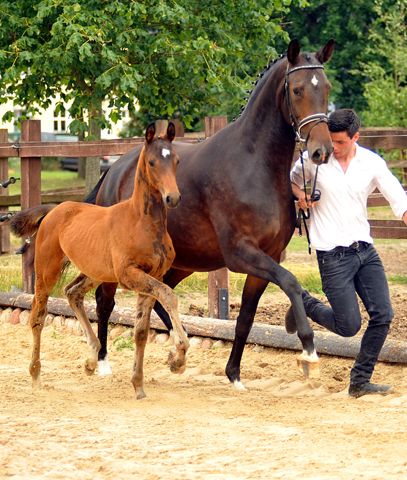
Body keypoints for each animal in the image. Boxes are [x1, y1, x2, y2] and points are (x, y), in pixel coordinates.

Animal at [10, 122, 190, 400]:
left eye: (177, 161)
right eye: (151, 162)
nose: (173, 198)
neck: (142, 222)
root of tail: (53, 210)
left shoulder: (152, 276)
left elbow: (141, 330)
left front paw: (139, 386)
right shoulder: (130, 275)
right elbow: (169, 296)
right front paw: (178, 357)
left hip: (96, 272)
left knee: (72, 292)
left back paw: (91, 359)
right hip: (47, 270)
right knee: (37, 314)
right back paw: (36, 376)